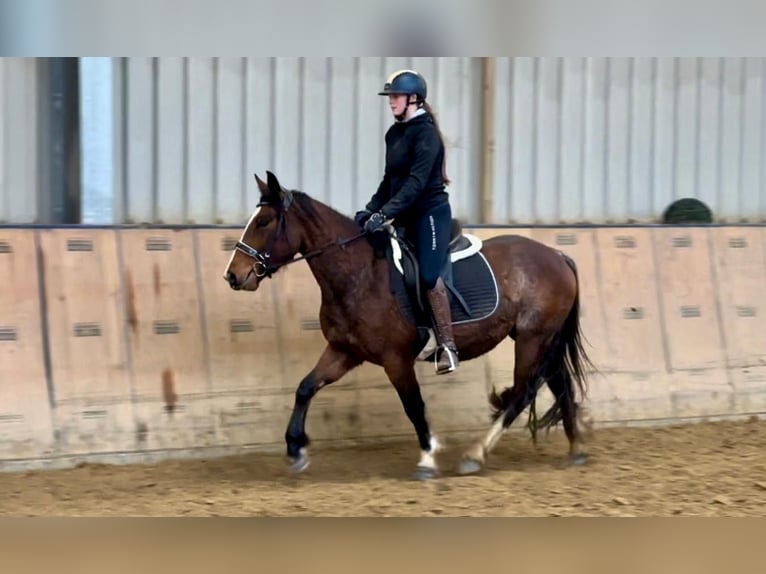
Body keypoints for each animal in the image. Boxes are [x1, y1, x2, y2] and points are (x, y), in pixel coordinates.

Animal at [222, 172, 592, 482]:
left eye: (264, 222)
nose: (233, 276)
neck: (359, 275)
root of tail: (558, 256)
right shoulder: (344, 351)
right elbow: (305, 388)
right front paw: (296, 449)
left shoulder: (395, 359)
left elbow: (413, 405)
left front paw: (428, 458)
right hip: (542, 338)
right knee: (558, 382)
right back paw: (576, 449)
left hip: (532, 338)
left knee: (524, 391)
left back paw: (475, 454)